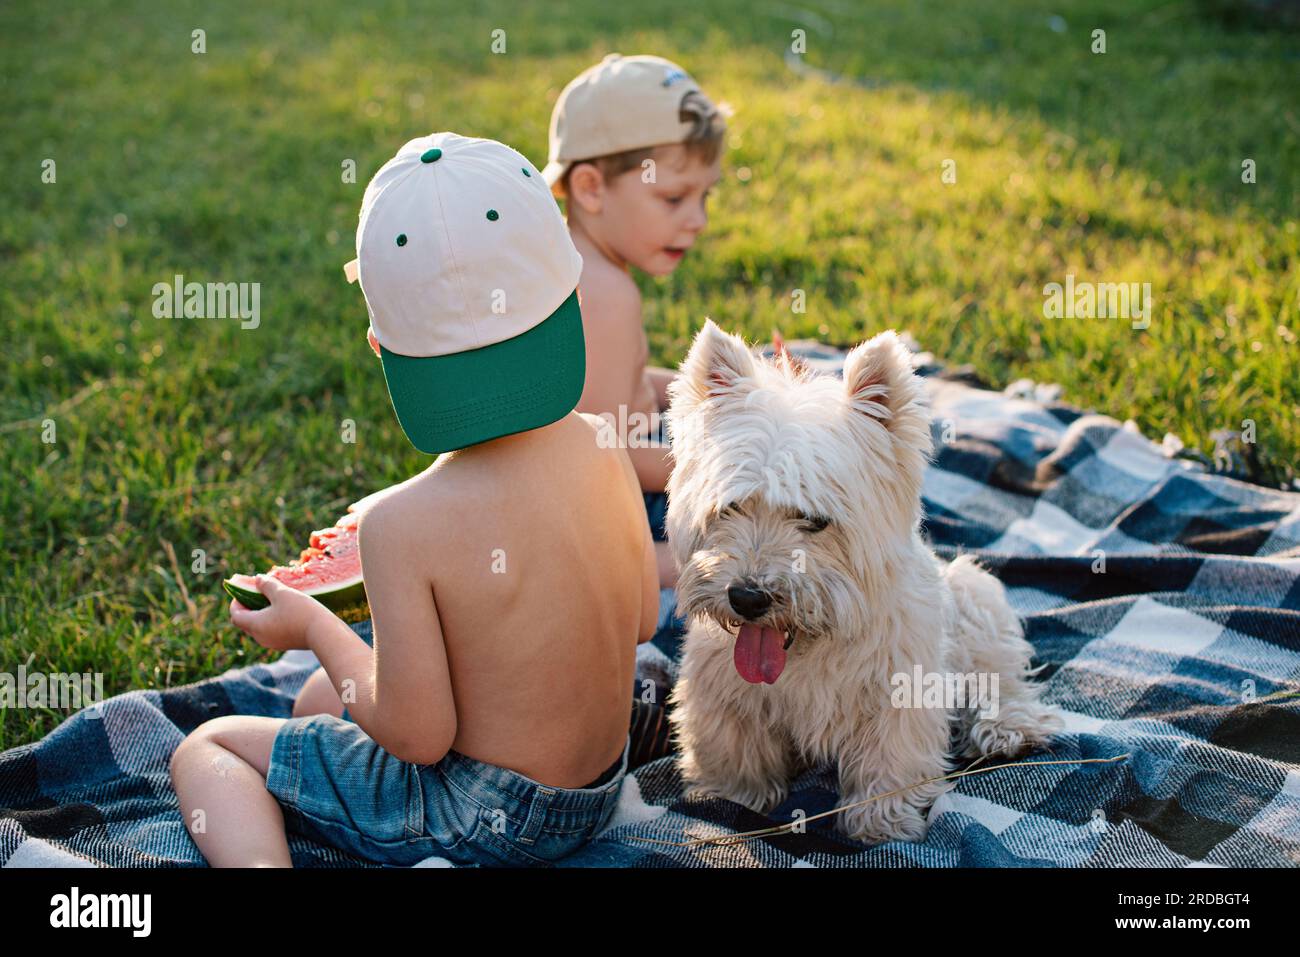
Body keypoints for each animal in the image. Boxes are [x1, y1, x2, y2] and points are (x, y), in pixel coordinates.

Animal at [665, 323, 1060, 842]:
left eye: (814, 520)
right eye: (729, 507)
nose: (747, 597)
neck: (809, 645)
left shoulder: (900, 692)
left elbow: (888, 761)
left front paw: (881, 824)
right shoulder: (724, 694)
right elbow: (734, 753)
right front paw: (733, 799)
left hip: (974, 597)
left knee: (999, 674)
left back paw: (1009, 729)